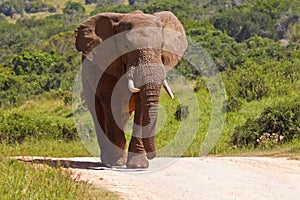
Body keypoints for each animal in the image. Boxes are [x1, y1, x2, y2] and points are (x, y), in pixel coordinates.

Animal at [73, 10, 188, 168]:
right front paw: (116, 163)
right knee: (98, 113)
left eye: (161, 46)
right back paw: (107, 160)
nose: (152, 155)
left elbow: (140, 109)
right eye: (126, 46)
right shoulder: (107, 67)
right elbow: (111, 104)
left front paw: (138, 166)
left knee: (123, 116)